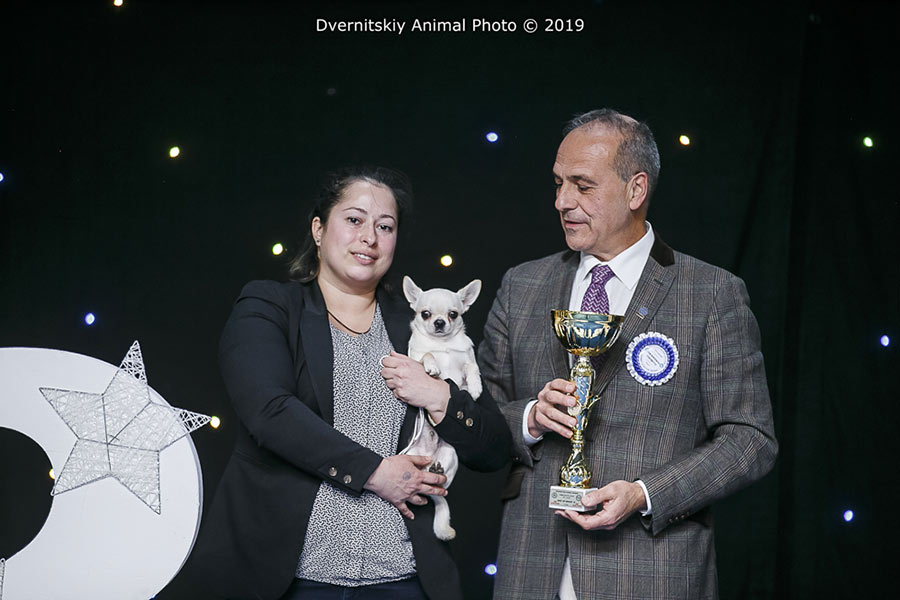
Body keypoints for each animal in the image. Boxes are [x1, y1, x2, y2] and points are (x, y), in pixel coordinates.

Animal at [399, 275, 482, 541]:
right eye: (425, 314)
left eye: (453, 314)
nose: (438, 322)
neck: (442, 345)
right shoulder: (414, 358)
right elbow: (426, 355)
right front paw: (433, 366)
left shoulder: (466, 360)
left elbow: (471, 367)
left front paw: (475, 388)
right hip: (411, 457)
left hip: (450, 455)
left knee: (441, 483)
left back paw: (436, 472)